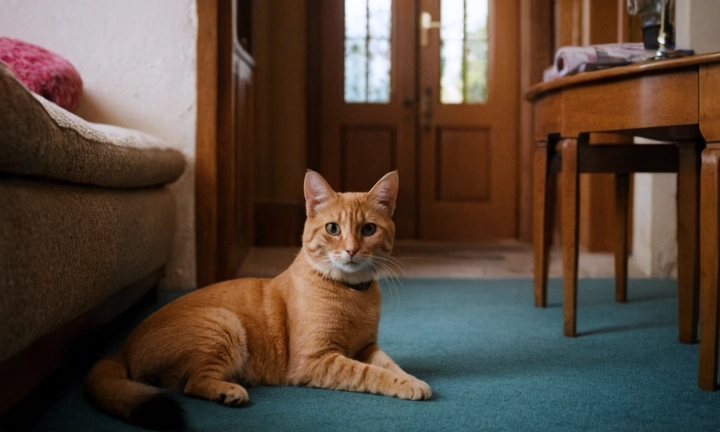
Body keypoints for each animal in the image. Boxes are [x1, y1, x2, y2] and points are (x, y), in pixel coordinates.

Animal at [86, 170, 430, 430]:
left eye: (369, 229)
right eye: (333, 228)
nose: (351, 250)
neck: (351, 293)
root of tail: (121, 349)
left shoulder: (366, 347)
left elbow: (389, 364)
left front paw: (409, 379)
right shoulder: (315, 360)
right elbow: (369, 373)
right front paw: (407, 385)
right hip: (223, 325)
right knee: (191, 383)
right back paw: (229, 392)